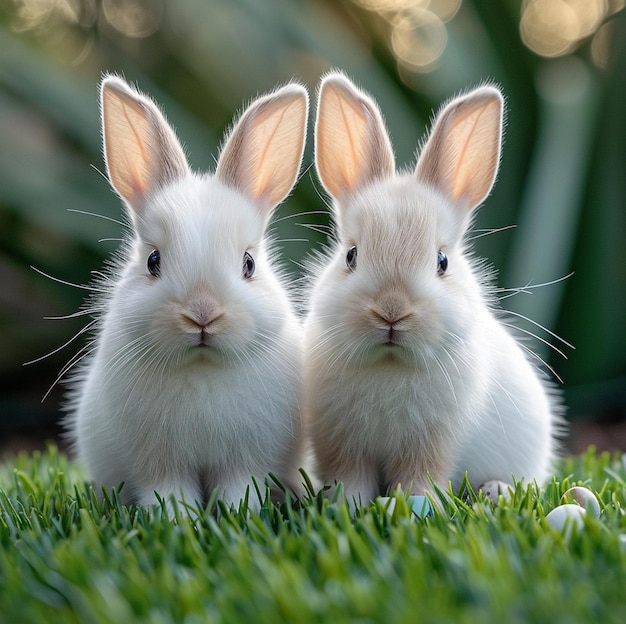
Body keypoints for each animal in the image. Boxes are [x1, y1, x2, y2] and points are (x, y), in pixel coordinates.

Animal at [65, 74, 308, 512]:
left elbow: (239, 490)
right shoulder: (160, 463)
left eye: (249, 264)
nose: (202, 313)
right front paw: (177, 518)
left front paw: (235, 515)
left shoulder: (245, 460)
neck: (202, 366)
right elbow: (168, 493)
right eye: (153, 261)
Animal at [304, 70, 564, 504]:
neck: (390, 365)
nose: (392, 311)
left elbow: (420, 476)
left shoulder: (433, 442)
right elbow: (350, 477)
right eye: (351, 256)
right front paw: (344, 504)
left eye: (442, 261)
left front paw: (412, 505)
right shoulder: (341, 443)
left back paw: (495, 491)